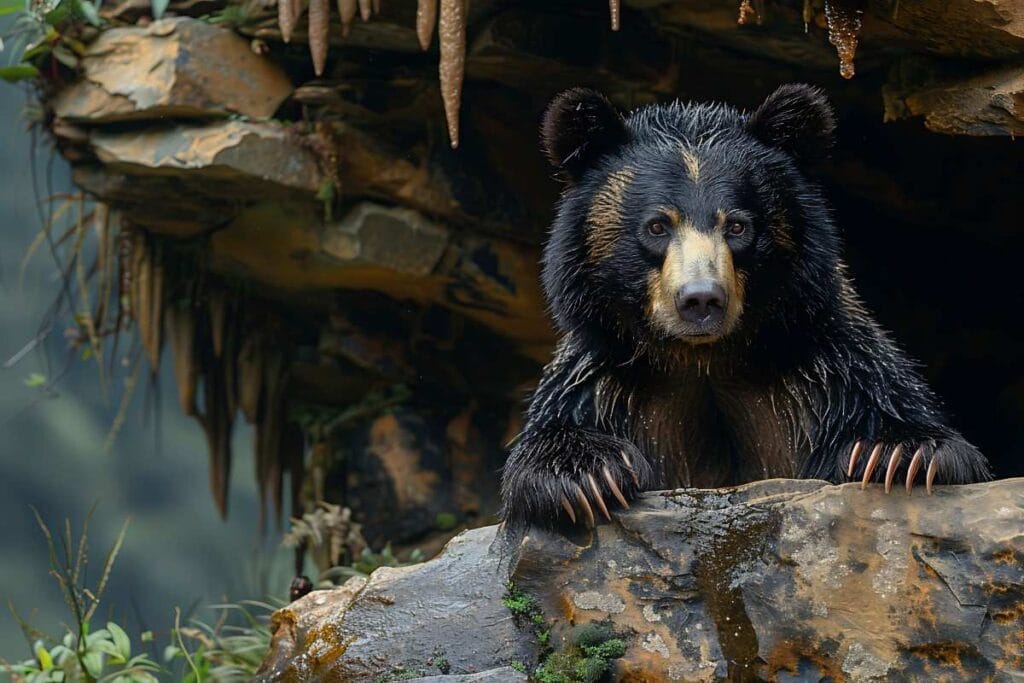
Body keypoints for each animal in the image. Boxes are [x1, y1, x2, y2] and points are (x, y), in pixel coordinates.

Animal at [500, 84, 992, 527]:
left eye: (736, 225)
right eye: (657, 225)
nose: (700, 299)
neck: (704, 359)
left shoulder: (827, 376)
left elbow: (906, 419)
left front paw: (893, 455)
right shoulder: (608, 384)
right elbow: (556, 434)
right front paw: (588, 474)